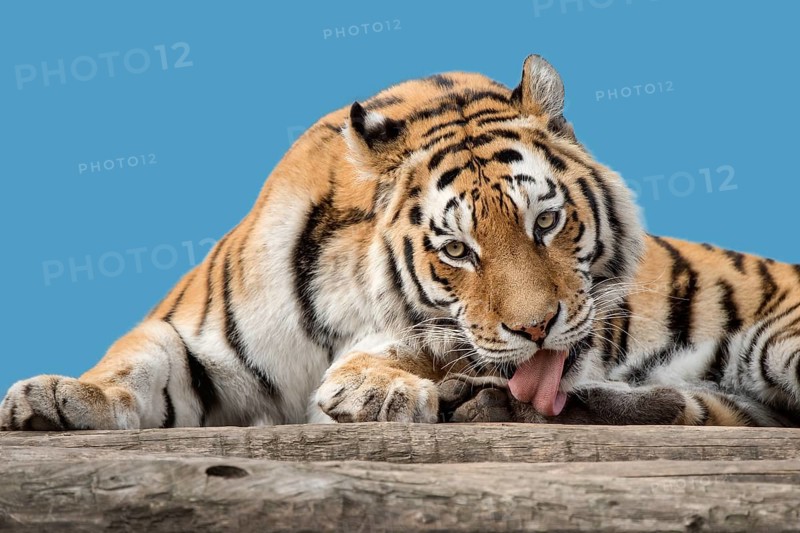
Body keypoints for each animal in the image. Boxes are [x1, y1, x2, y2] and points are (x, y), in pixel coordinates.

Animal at [2, 54, 799, 432]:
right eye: (458, 250)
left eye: (545, 223)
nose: (537, 327)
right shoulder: (195, 336)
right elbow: (135, 364)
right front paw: (57, 395)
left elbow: (405, 346)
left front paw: (373, 389)